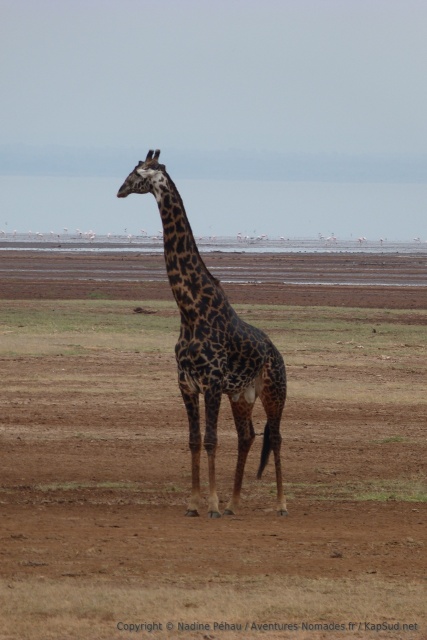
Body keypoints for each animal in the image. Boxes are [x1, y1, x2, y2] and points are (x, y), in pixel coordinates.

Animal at [117, 150, 287, 518]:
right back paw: (235, 504)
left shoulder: (211, 383)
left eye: (136, 173)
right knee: (249, 436)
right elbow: (194, 440)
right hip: (242, 396)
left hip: (274, 391)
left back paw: (281, 504)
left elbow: (211, 440)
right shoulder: (186, 384)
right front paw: (194, 503)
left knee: (277, 437)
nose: (119, 190)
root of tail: (276, 352)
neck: (190, 309)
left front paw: (211, 504)